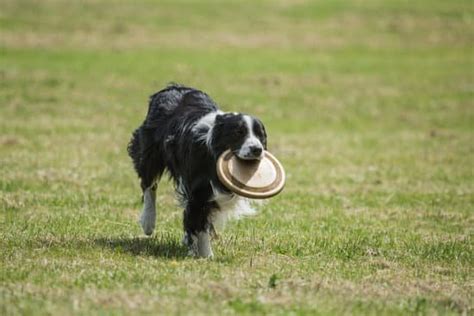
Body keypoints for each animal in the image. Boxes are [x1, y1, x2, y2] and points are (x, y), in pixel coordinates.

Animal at [128, 84, 266, 256]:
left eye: (261, 136)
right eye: (238, 133)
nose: (257, 150)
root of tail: (172, 87)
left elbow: (201, 220)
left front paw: (196, 248)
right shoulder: (198, 191)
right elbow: (198, 222)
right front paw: (205, 256)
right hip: (149, 153)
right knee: (148, 185)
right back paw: (148, 222)